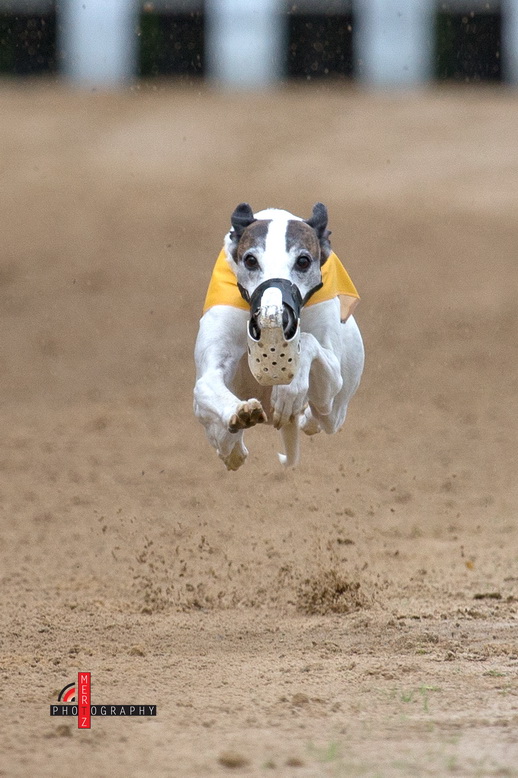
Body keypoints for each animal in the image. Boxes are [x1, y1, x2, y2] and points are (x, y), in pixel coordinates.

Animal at [194, 202, 366, 466]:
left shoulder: (333, 377)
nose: (275, 315)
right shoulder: (209, 375)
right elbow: (209, 389)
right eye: (250, 260)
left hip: (335, 406)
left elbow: (308, 342)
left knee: (323, 415)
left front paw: (289, 391)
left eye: (303, 261)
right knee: (229, 446)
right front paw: (239, 412)